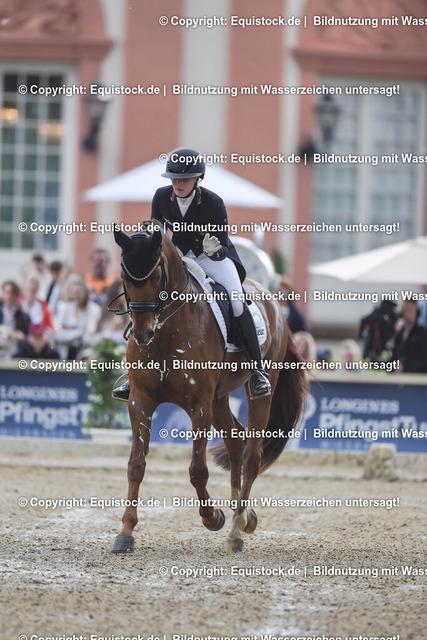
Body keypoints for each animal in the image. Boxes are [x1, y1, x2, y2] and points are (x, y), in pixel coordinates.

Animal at [110, 223, 307, 553]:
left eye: (156, 277)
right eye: (125, 278)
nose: (142, 333)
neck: (167, 332)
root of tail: (271, 298)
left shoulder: (198, 406)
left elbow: (197, 470)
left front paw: (212, 517)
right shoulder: (140, 400)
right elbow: (135, 465)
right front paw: (125, 533)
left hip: (256, 392)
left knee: (252, 454)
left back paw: (235, 531)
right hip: (219, 398)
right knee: (236, 440)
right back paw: (244, 515)